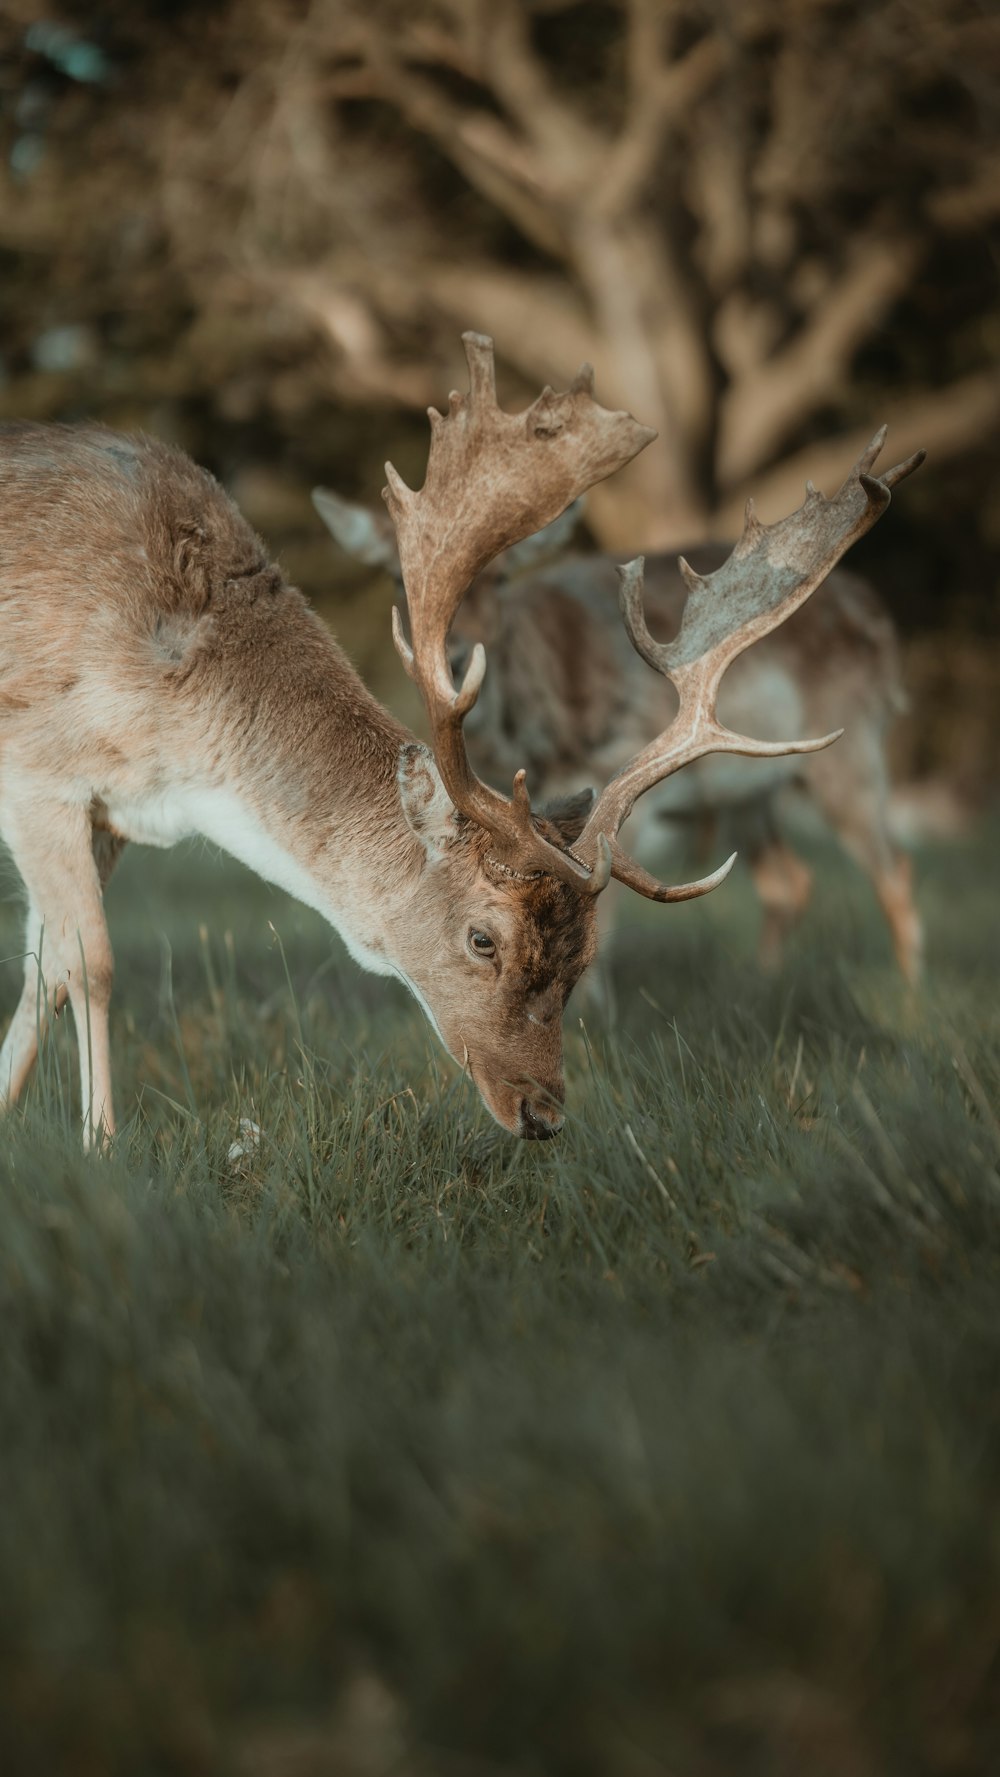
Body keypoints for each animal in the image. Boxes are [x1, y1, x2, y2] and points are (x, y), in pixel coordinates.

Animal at [316, 486, 930, 988]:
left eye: (500, 578)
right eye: (397, 579)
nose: (458, 653)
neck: (529, 739)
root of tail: (883, 625)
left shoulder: (605, 773)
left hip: (853, 751)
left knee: (894, 870)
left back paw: (911, 1003)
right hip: (748, 796)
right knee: (789, 882)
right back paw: (765, 983)